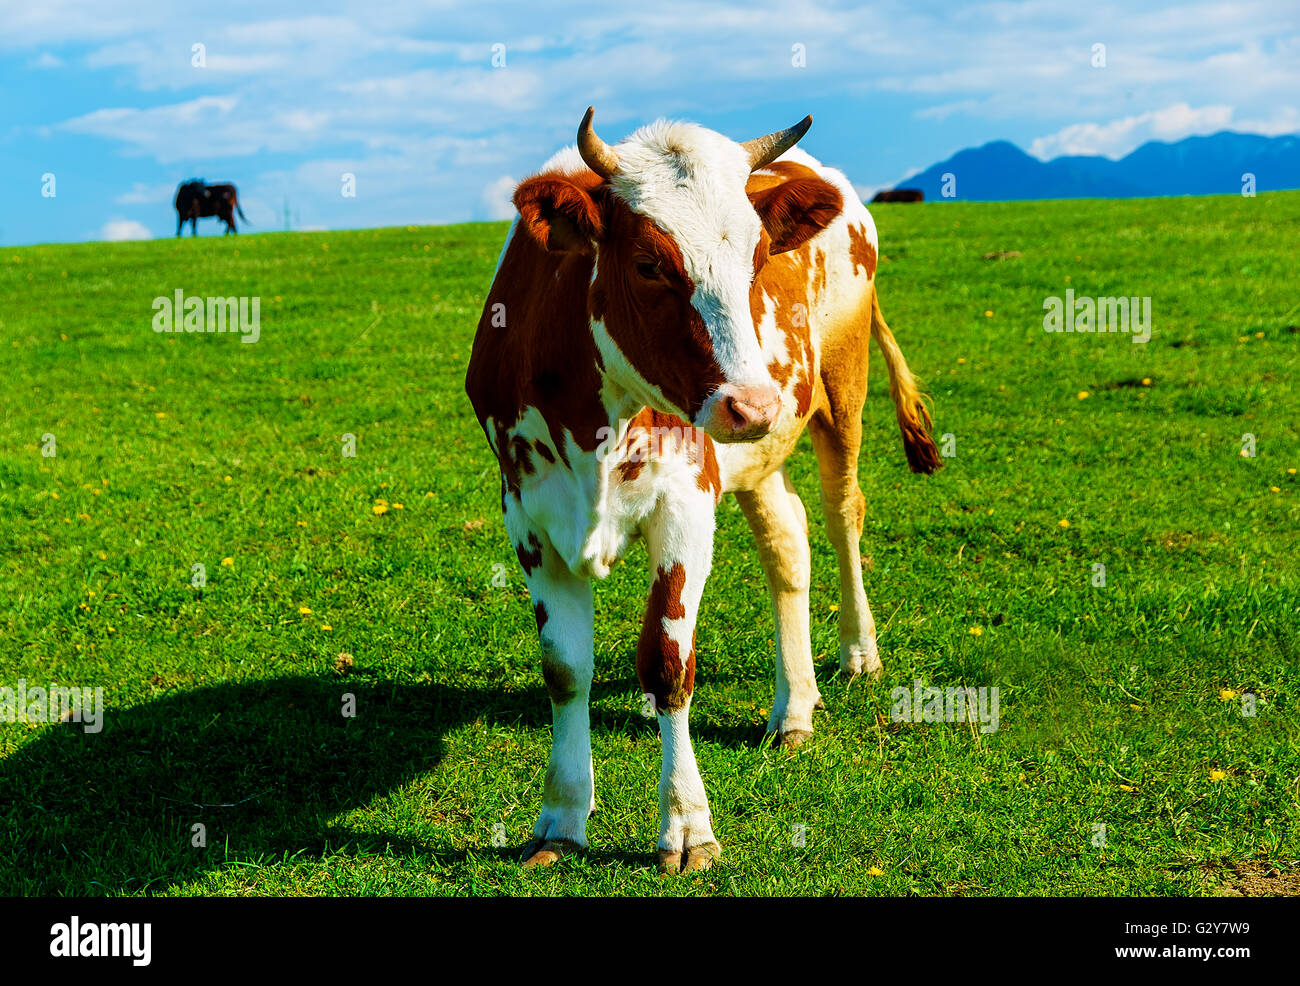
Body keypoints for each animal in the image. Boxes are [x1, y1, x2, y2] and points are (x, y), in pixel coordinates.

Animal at [465, 108, 941, 874]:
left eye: (757, 259)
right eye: (649, 264)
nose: (752, 404)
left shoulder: (685, 502)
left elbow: (667, 664)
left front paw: (687, 827)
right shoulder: (528, 516)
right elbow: (565, 670)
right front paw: (561, 819)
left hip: (842, 390)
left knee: (842, 515)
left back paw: (858, 652)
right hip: (758, 457)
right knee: (789, 542)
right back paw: (794, 708)